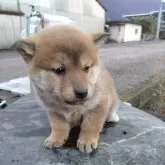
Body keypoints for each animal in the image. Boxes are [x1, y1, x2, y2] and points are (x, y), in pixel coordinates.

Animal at [13, 25, 119, 154]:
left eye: (86, 68)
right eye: (59, 70)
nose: (82, 93)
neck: (69, 106)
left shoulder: (98, 104)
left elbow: (90, 125)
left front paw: (87, 141)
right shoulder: (54, 110)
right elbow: (58, 126)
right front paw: (55, 138)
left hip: (113, 99)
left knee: (112, 110)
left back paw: (112, 117)